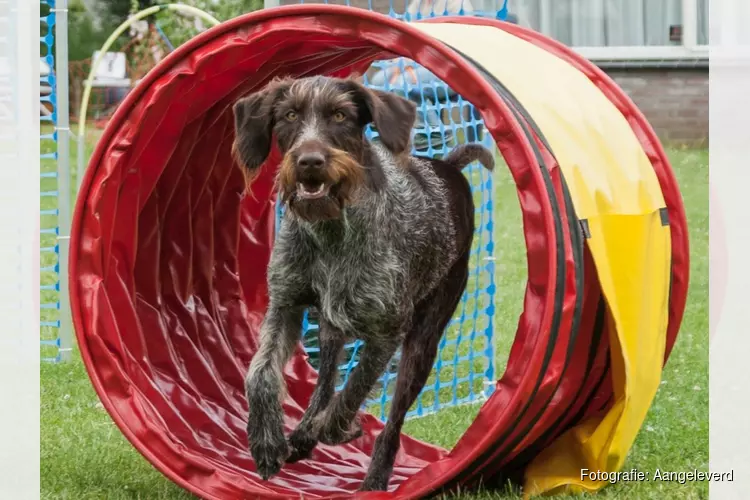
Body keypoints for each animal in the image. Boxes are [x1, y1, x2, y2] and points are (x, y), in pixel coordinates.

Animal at [234, 76, 494, 490]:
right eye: (289, 115)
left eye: (340, 115)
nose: (310, 161)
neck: (330, 230)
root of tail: (448, 169)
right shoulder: (285, 305)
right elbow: (259, 374)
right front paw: (267, 442)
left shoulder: (387, 331)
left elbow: (353, 390)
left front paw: (340, 429)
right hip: (329, 330)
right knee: (324, 382)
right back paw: (303, 434)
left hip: (422, 343)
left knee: (392, 422)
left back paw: (373, 477)